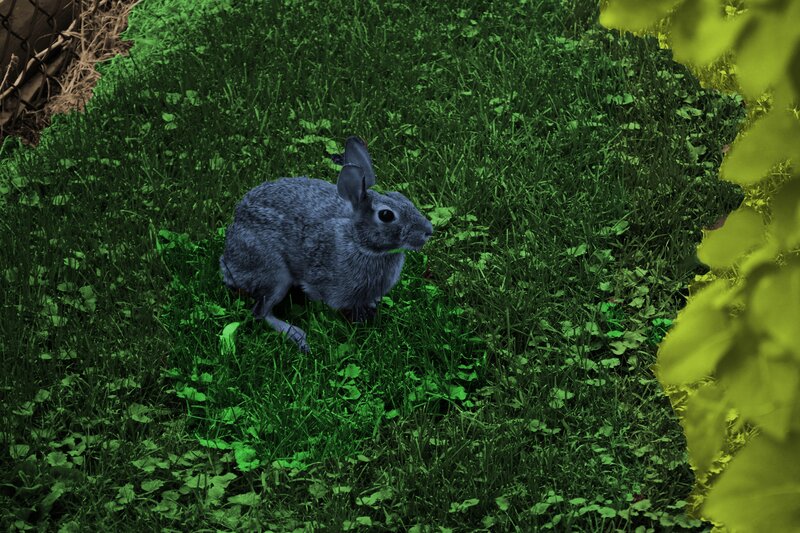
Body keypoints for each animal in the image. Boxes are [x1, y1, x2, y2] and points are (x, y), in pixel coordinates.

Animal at [220, 136, 434, 353]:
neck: (358, 241)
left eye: (400, 196)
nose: (428, 231)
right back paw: (296, 335)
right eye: (386, 215)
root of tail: (228, 259)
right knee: (260, 312)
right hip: (273, 274)